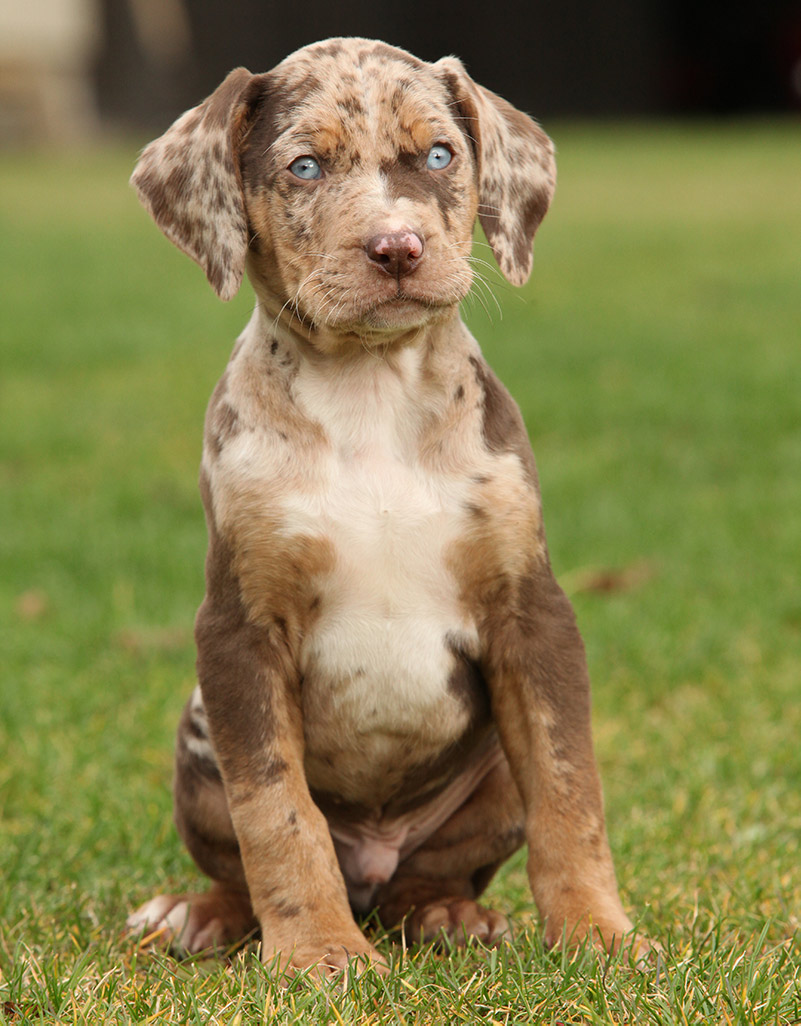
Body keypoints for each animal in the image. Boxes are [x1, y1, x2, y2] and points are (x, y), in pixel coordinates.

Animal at [126, 36, 635, 972]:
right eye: (304, 167)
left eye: (438, 155)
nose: (396, 247)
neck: (370, 395)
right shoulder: (239, 632)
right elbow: (277, 814)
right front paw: (317, 954)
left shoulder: (533, 614)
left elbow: (568, 790)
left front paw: (596, 932)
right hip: (196, 737)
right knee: (247, 861)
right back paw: (201, 914)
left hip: (483, 783)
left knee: (429, 874)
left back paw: (447, 915)